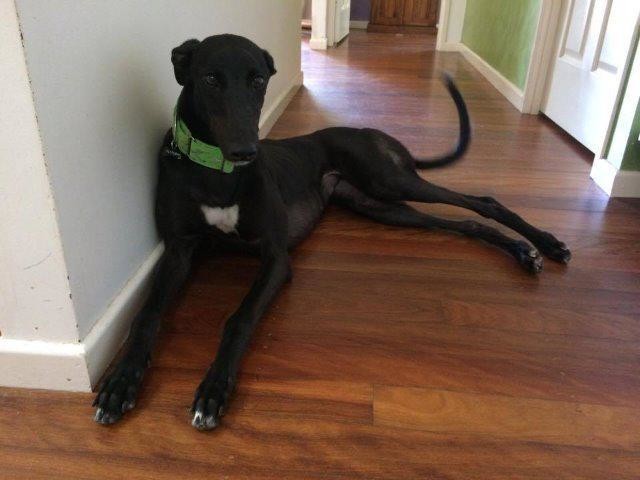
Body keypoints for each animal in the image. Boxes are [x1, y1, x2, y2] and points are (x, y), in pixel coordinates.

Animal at [94, 34, 571, 430]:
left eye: (258, 79)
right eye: (210, 78)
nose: (246, 151)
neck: (216, 172)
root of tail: (374, 133)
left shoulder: (275, 258)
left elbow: (239, 318)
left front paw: (213, 390)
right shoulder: (178, 251)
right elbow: (147, 314)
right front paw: (119, 382)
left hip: (388, 181)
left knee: (481, 201)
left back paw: (543, 245)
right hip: (382, 206)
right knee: (465, 220)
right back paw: (523, 250)